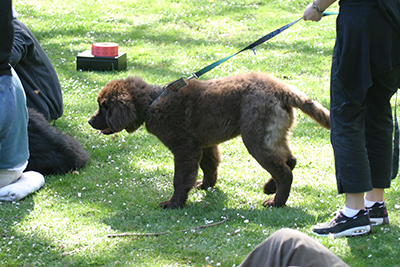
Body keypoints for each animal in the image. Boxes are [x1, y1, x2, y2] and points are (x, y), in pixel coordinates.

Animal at [88, 73, 328, 209]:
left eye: (103, 106)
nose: (89, 121)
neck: (152, 103)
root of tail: (280, 89)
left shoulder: (185, 149)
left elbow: (180, 179)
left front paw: (174, 204)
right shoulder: (205, 144)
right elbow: (210, 166)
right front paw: (205, 186)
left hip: (256, 137)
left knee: (284, 170)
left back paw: (276, 202)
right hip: (273, 134)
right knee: (290, 160)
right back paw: (271, 188)